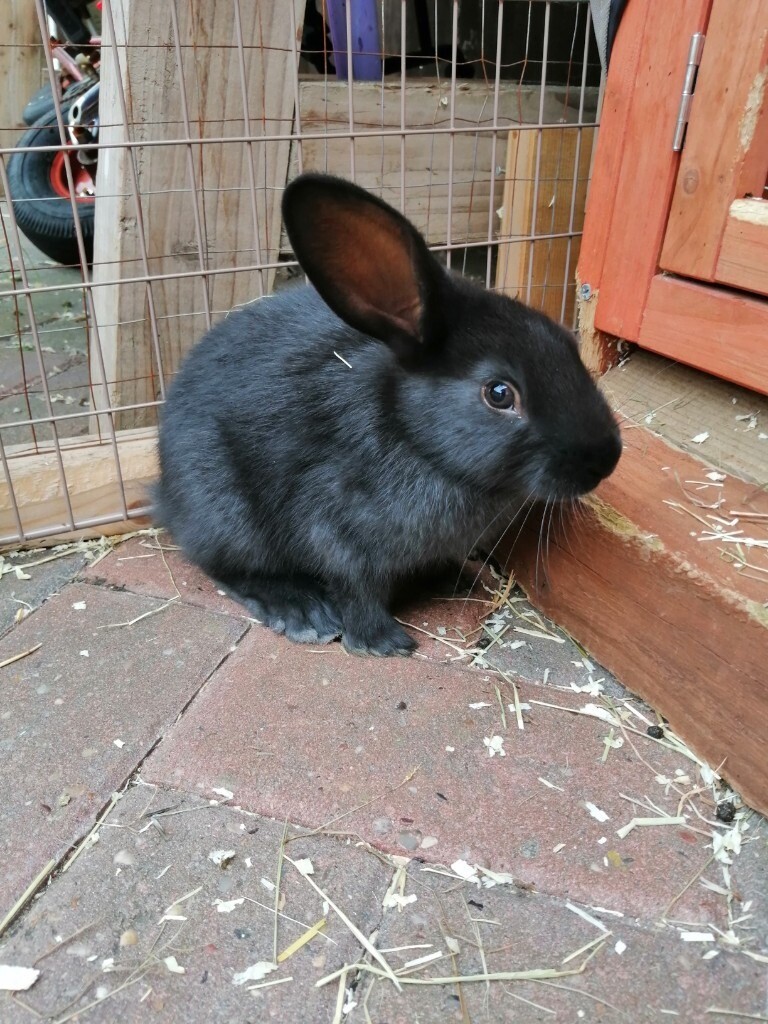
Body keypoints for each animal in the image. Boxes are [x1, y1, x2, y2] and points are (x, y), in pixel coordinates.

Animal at [154, 173, 622, 656]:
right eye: (499, 393)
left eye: (567, 343)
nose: (605, 458)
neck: (417, 442)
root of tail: (164, 494)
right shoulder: (336, 530)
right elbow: (355, 587)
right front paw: (383, 643)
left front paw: (454, 578)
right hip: (225, 510)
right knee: (225, 564)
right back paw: (302, 612)